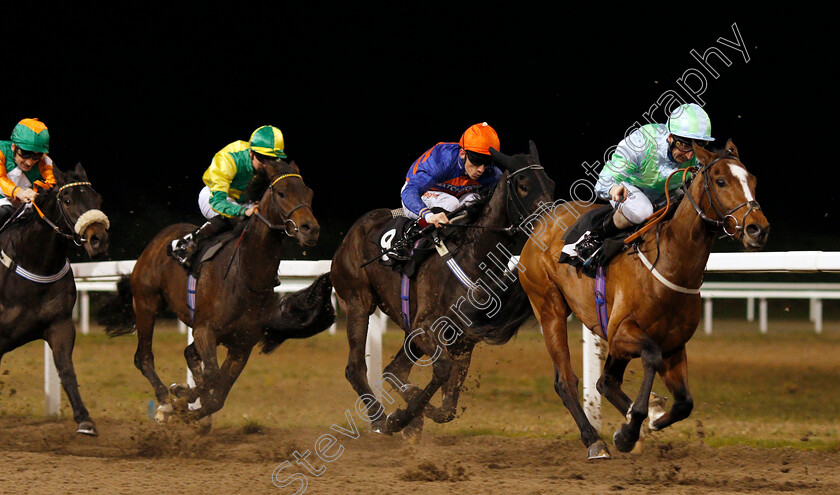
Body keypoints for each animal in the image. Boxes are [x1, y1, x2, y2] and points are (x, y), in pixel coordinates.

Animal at [0, 165, 110, 436]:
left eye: (98, 199)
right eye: (67, 200)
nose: (98, 240)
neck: (34, 263)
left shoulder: (60, 324)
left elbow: (66, 369)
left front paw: (84, 419)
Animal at [332, 142, 556, 438]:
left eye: (551, 183)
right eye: (523, 185)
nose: (552, 224)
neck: (473, 254)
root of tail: (352, 233)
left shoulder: (462, 338)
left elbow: (447, 407)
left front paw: (409, 417)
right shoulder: (425, 327)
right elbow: (441, 370)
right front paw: (400, 419)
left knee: (394, 370)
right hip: (358, 303)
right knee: (355, 368)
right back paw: (380, 418)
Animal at [492, 139, 768, 458]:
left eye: (753, 181)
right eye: (721, 181)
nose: (758, 229)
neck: (669, 263)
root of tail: (541, 221)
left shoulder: (673, 344)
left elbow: (684, 402)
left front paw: (650, 419)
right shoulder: (622, 333)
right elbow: (650, 355)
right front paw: (630, 429)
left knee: (605, 382)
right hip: (549, 308)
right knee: (566, 381)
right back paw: (594, 440)